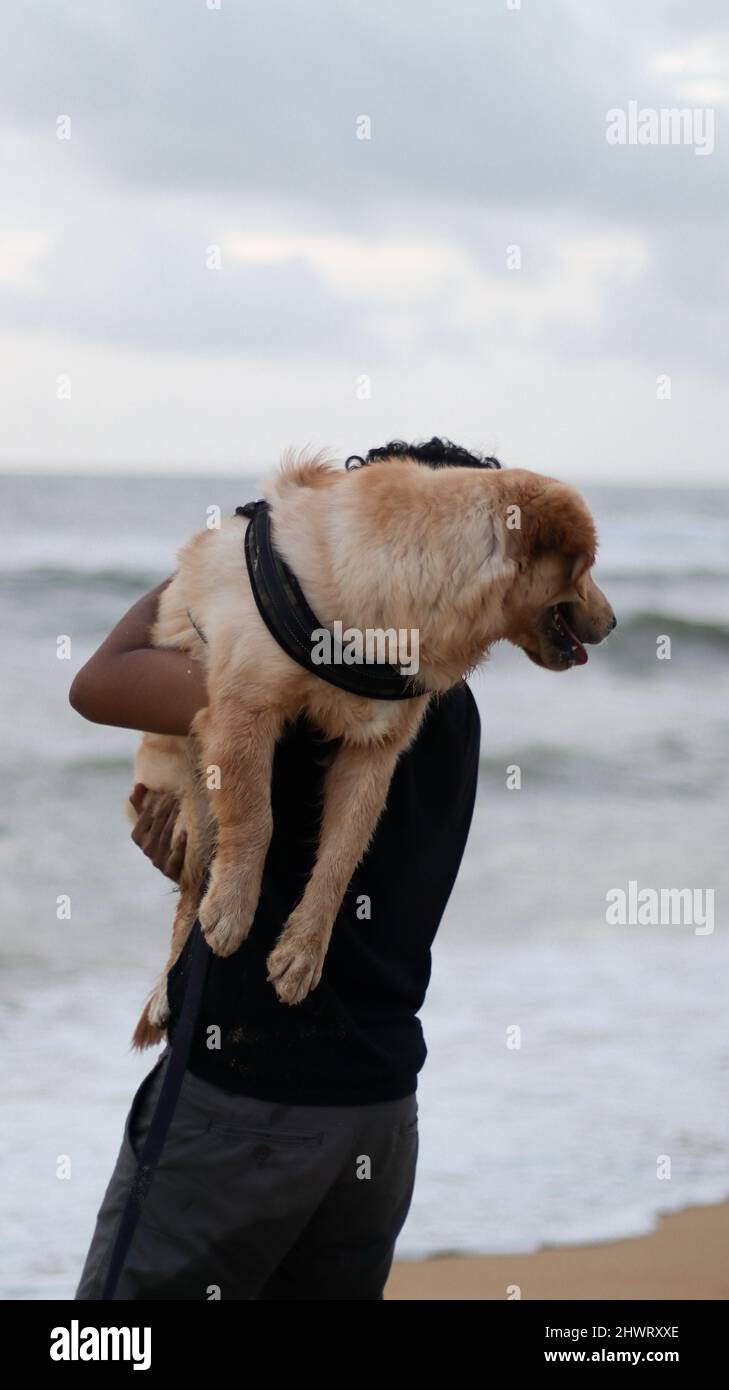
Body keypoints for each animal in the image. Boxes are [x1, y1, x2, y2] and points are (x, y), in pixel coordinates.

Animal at [129, 450, 614, 1045]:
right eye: (586, 566)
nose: (614, 621)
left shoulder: (374, 751)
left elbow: (339, 859)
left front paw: (303, 953)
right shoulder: (246, 707)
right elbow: (255, 818)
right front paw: (235, 907)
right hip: (190, 792)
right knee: (191, 888)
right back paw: (163, 993)